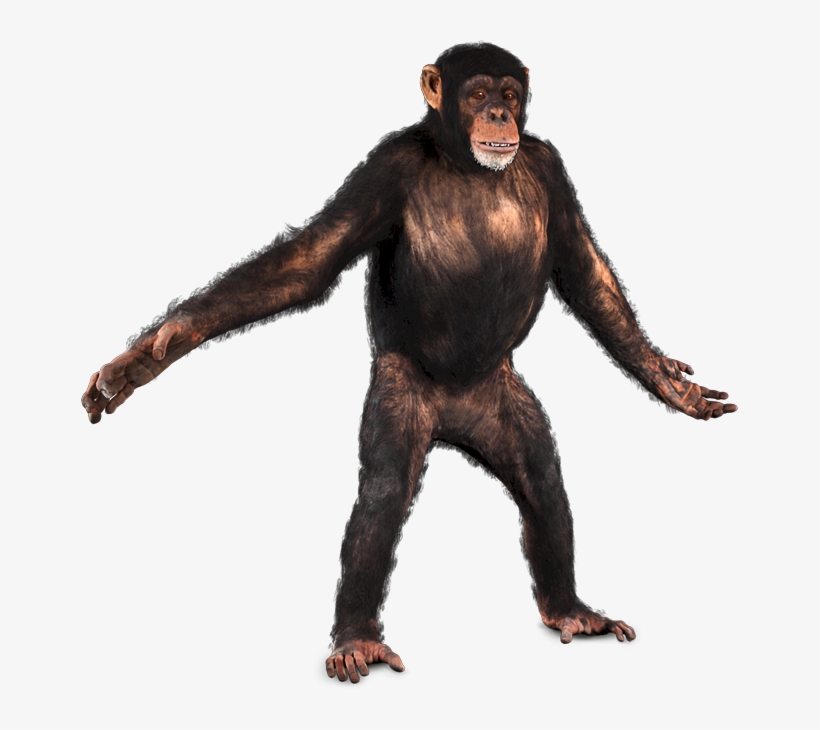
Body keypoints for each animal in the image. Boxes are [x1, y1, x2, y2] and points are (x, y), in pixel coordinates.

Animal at [82, 42, 737, 683]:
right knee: (384, 492)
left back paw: (570, 609)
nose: (497, 115)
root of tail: (454, 421)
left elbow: (583, 268)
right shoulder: (385, 167)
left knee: (541, 480)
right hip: (402, 390)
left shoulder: (551, 166)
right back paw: (357, 640)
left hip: (504, 403)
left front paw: (673, 386)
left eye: (510, 95)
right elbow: (309, 262)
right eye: (477, 93)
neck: (466, 164)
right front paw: (147, 355)